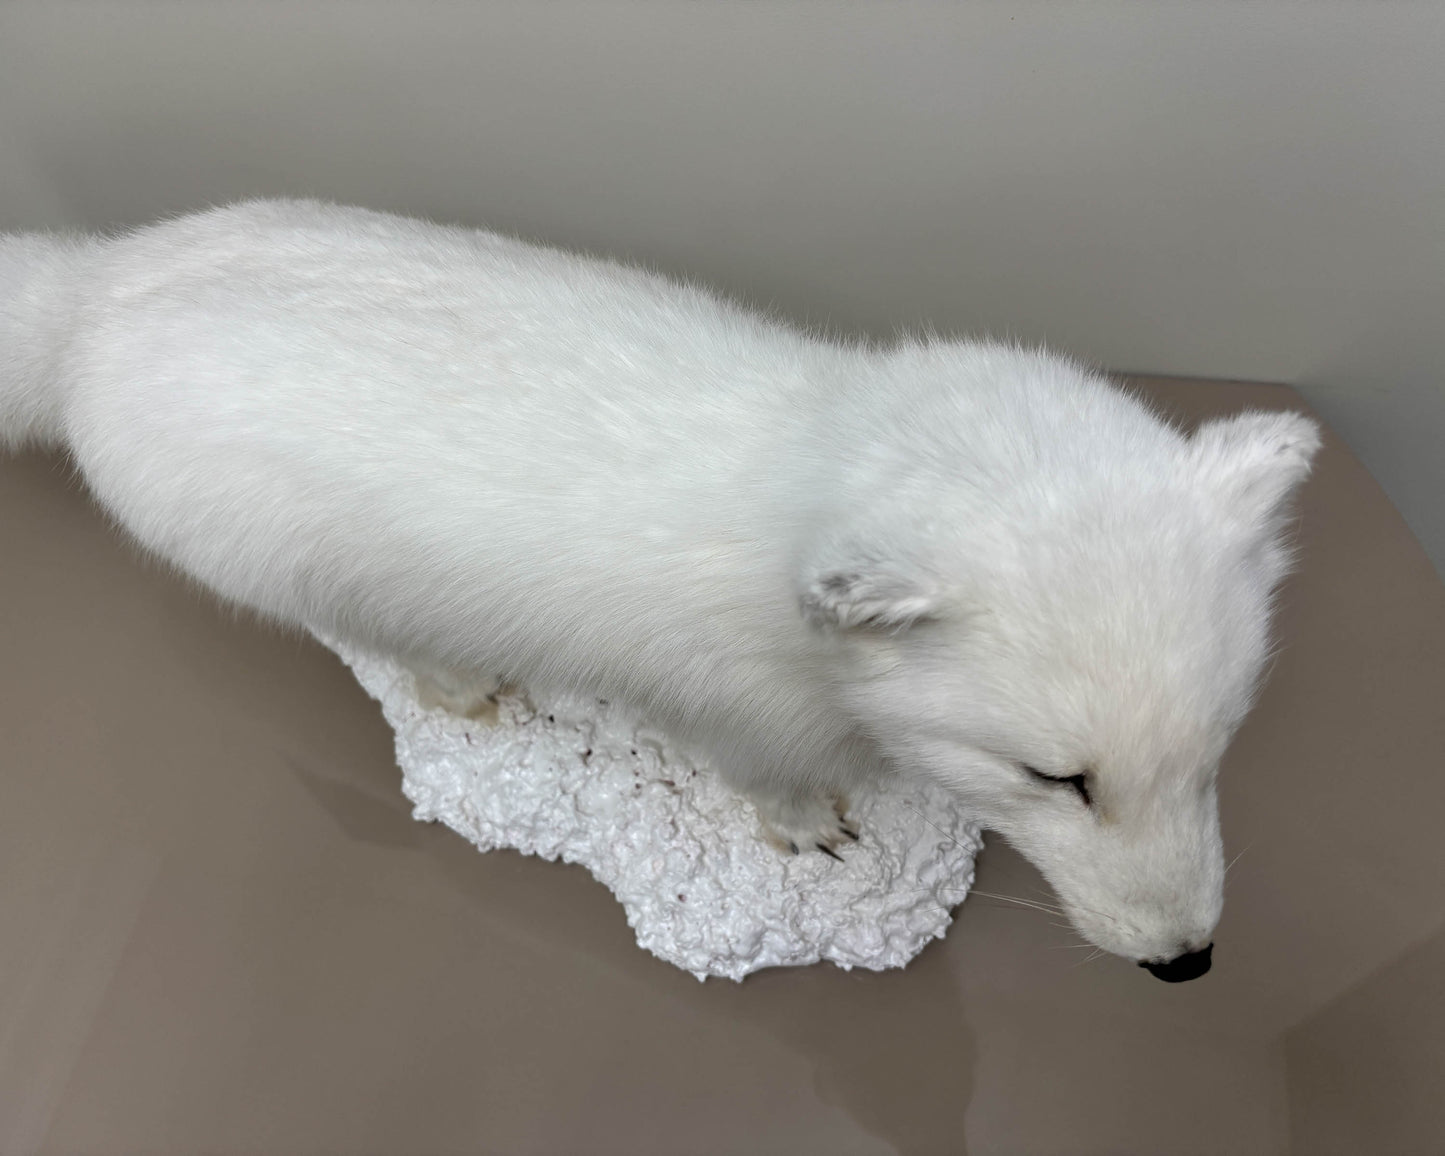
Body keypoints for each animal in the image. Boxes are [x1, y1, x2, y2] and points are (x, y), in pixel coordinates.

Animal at [1, 199, 1320, 980]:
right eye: (1055, 778)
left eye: (1217, 745)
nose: (1187, 962)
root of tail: (89, 294)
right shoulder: (729, 712)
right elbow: (768, 785)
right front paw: (810, 828)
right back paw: (463, 684)